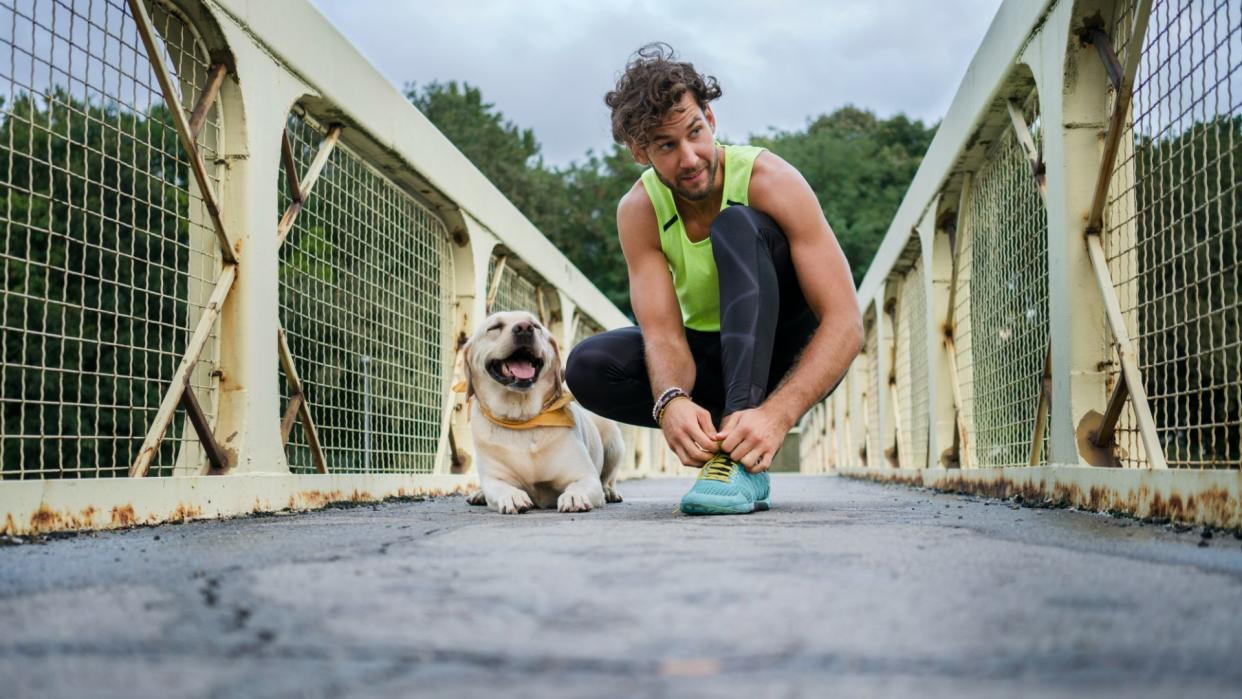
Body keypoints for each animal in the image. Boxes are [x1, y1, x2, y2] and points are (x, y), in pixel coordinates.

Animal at [464, 311, 625, 514]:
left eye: (536, 326)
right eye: (494, 327)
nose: (524, 328)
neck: (522, 419)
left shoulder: (585, 476)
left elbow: (581, 485)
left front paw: (574, 497)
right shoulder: (495, 478)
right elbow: (501, 487)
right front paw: (513, 496)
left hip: (614, 441)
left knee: (607, 479)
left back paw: (610, 491)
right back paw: (479, 494)